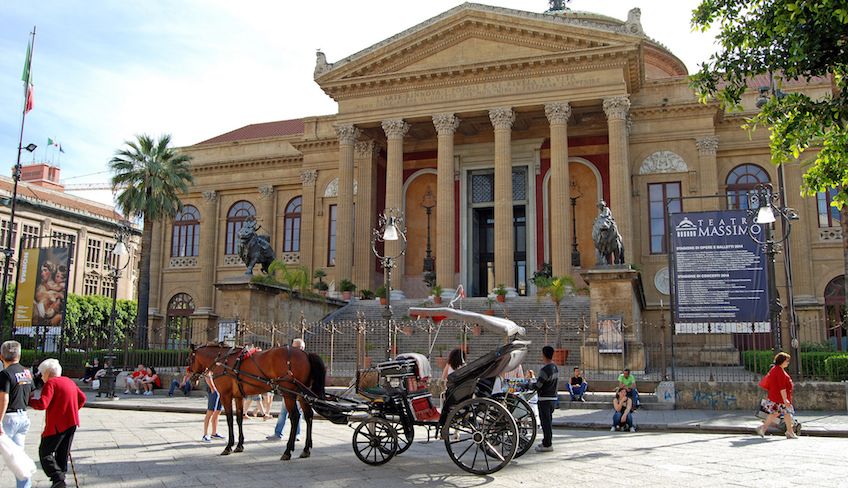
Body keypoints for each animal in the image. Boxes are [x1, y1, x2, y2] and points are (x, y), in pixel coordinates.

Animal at [189, 344, 324, 462]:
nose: (191, 379)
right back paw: (306, 450)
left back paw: (287, 451)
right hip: (302, 394)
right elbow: (239, 419)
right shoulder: (238, 397)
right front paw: (239, 445)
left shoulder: (225, 396)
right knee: (308, 416)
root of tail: (305, 353)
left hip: (289, 394)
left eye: (190, 359)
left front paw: (228, 446)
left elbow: (229, 420)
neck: (223, 361)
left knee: (295, 417)